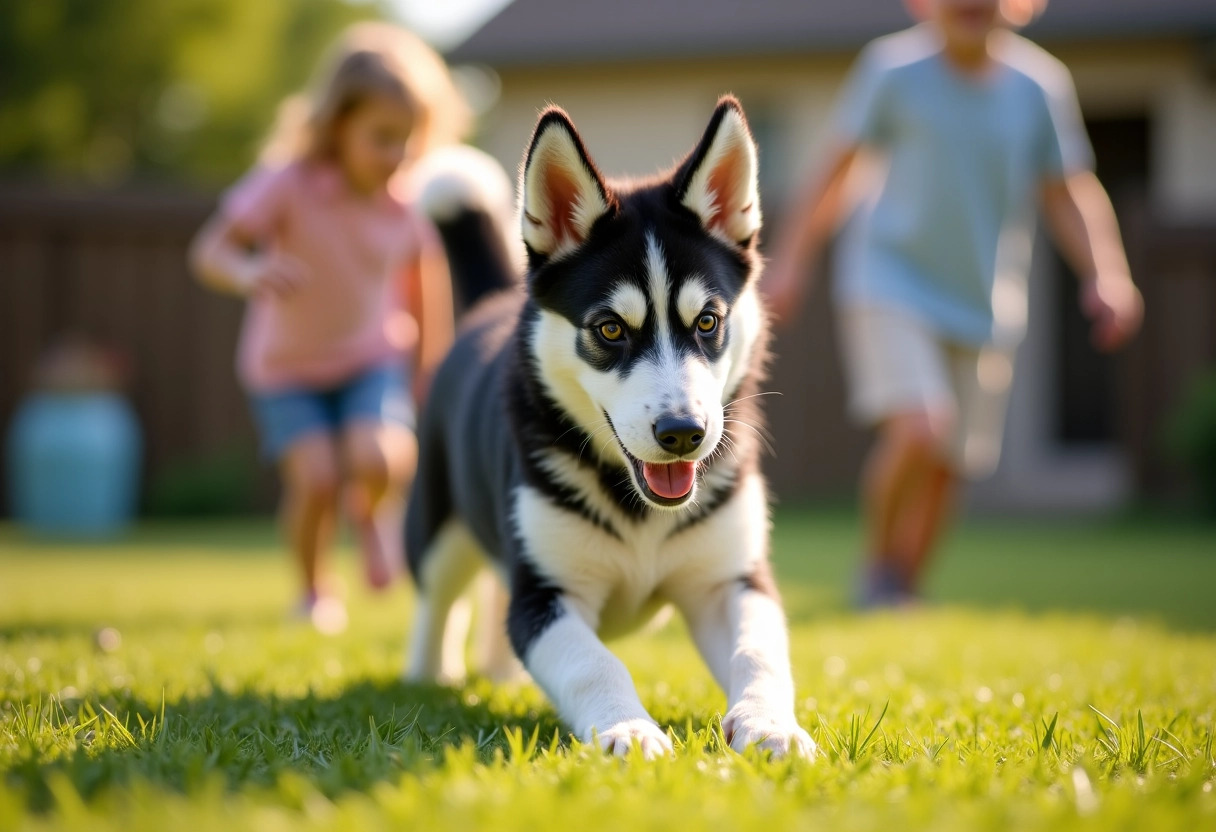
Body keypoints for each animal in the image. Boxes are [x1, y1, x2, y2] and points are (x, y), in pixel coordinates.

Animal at [403, 97, 812, 759]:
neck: (639, 508)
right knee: (438, 598)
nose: (683, 433)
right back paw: (428, 673)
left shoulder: (731, 581)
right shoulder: (544, 596)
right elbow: (593, 663)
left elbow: (759, 652)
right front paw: (629, 729)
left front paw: (770, 724)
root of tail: (489, 306)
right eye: (610, 329)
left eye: (707, 321)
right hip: (437, 523)